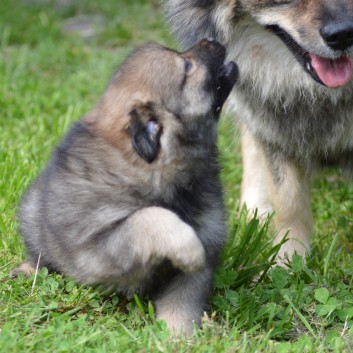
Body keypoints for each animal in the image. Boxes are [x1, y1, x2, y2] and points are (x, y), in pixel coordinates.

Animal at [11, 40, 236, 334]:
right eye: (186, 65)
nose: (212, 40)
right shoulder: (102, 245)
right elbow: (149, 217)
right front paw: (188, 246)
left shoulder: (202, 254)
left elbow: (182, 303)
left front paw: (177, 335)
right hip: (32, 215)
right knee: (40, 256)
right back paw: (27, 270)